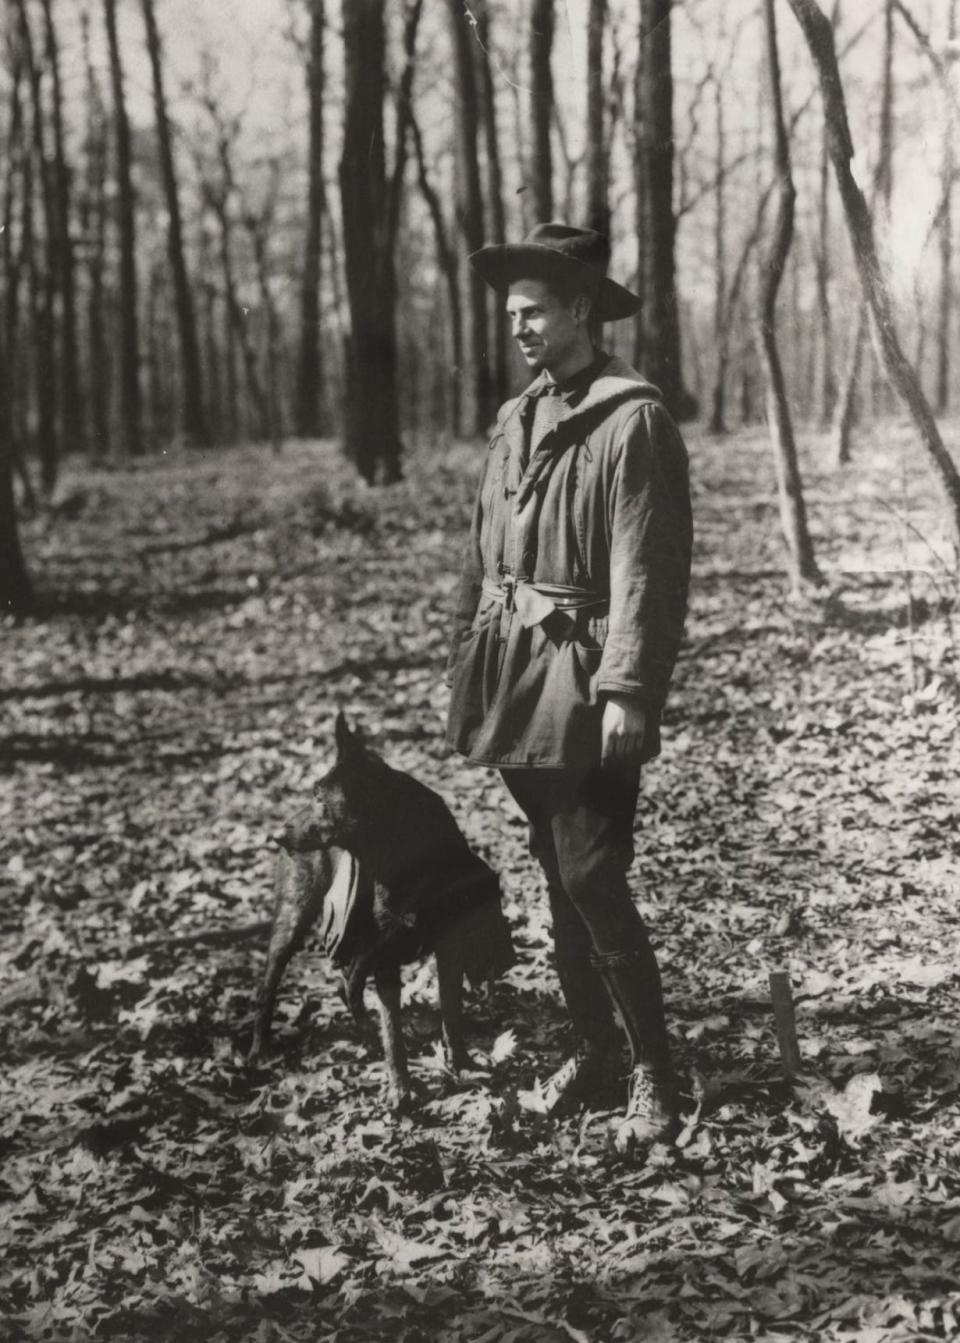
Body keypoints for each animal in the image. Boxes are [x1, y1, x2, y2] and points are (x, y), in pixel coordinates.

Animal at [251, 714, 515, 1112]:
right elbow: (393, 1031)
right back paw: (260, 1046)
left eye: (319, 798)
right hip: (293, 919)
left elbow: (451, 1012)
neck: (401, 856)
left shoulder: (447, 951)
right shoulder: (385, 957)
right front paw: (400, 1090)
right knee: (270, 983)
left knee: (349, 984)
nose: (275, 835)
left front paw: (461, 1064)